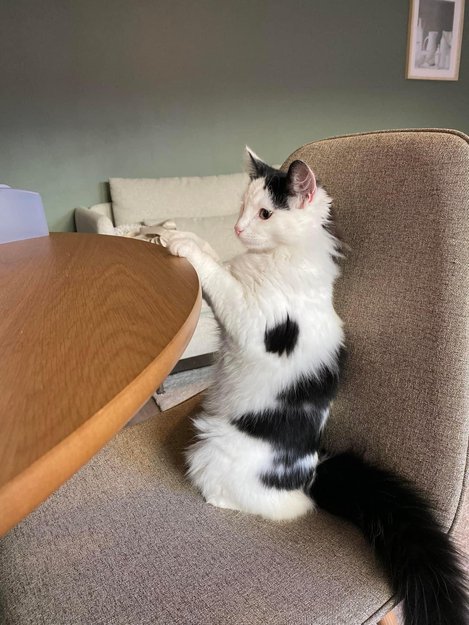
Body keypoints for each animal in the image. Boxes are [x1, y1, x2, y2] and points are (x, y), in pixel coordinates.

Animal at [156, 148, 468, 625]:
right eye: (243, 206)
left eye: (265, 213)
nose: (238, 228)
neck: (278, 257)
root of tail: (311, 473)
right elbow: (215, 258)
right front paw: (174, 232)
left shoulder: (248, 318)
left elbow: (215, 275)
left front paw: (182, 244)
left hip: (212, 450)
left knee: (277, 507)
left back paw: (214, 499)